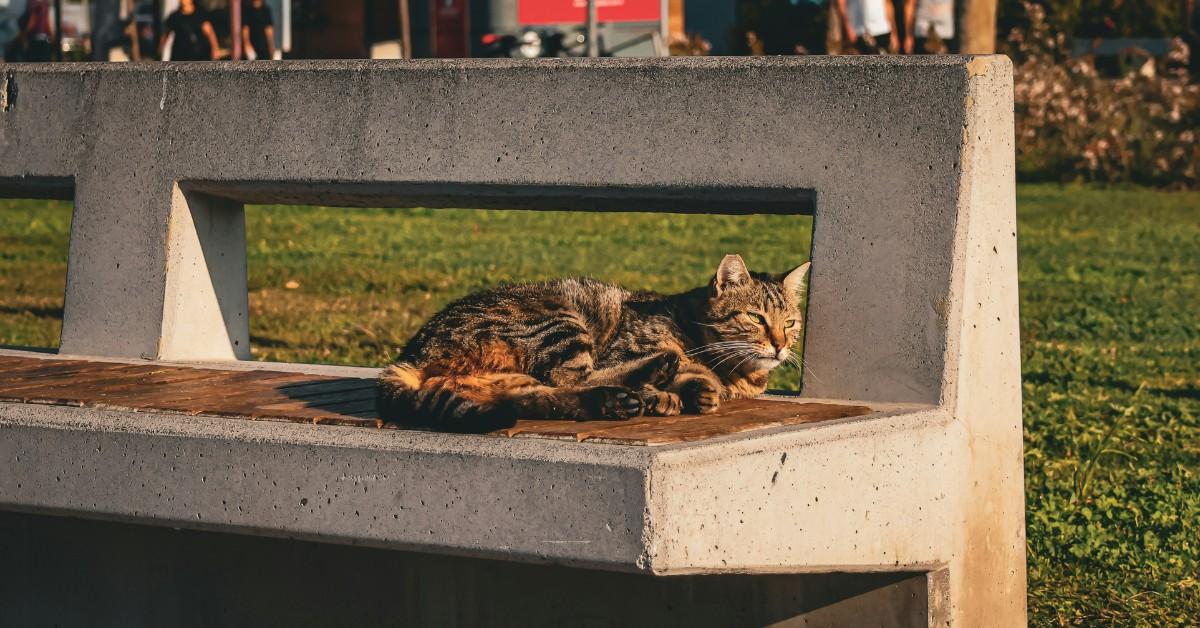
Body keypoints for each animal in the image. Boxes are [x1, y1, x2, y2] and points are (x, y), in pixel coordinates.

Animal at [379, 255, 811, 432]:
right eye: (756, 318)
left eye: (790, 323)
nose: (780, 345)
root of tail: (412, 353)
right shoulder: (624, 347)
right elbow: (686, 370)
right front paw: (675, 387)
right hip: (559, 320)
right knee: (571, 379)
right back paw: (646, 382)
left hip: (515, 379)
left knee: (541, 398)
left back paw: (617, 400)